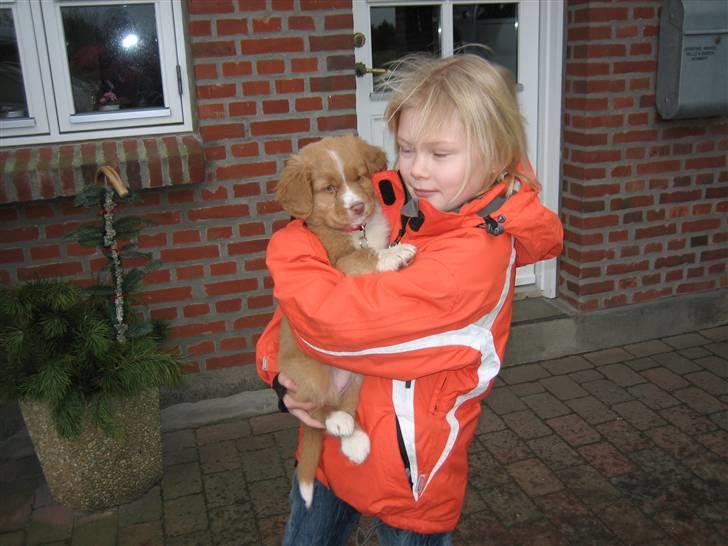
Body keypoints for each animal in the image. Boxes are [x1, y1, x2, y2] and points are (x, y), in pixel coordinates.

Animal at [276, 133, 416, 506]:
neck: (357, 230)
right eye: (328, 188)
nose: (357, 207)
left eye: (360, 177)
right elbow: (364, 257)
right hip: (308, 372)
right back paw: (336, 420)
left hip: (359, 375)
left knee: (346, 407)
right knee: (318, 410)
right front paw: (395, 254)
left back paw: (354, 440)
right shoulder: (338, 267)